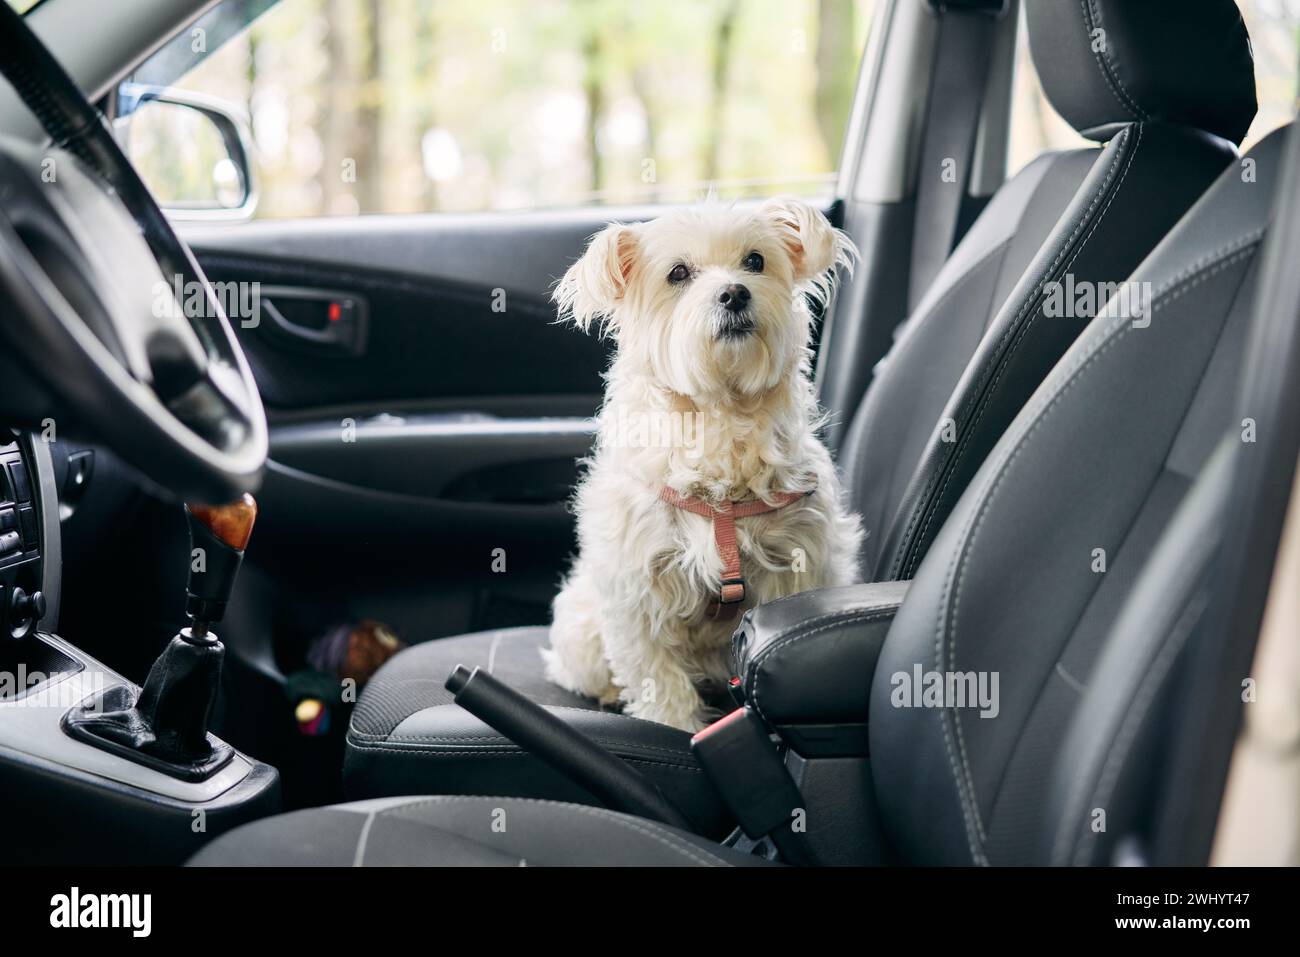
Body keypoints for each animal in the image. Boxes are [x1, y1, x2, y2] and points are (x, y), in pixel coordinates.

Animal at [538, 197, 863, 728]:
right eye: (678, 273)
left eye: (755, 261)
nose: (733, 293)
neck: (722, 414)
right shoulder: (637, 589)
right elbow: (659, 679)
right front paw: (674, 726)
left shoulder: (798, 562)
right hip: (582, 629)